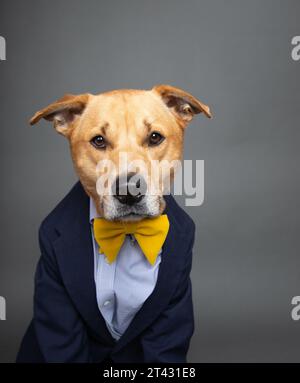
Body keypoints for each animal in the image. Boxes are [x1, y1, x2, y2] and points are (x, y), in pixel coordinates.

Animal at [16, 84, 211, 364]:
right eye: (99, 140)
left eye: (154, 137)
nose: (129, 190)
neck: (126, 231)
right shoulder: (56, 295)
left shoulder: (174, 303)